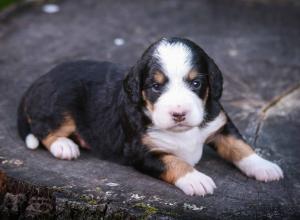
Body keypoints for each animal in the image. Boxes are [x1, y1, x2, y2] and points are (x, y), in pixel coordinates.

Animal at [17, 37, 282, 196]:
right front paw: (196, 179)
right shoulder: (141, 151)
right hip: (62, 103)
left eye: (196, 83)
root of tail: (39, 80)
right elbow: (173, 161)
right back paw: (65, 146)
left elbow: (240, 146)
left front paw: (264, 166)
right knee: (44, 129)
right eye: (156, 86)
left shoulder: (219, 124)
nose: (179, 113)